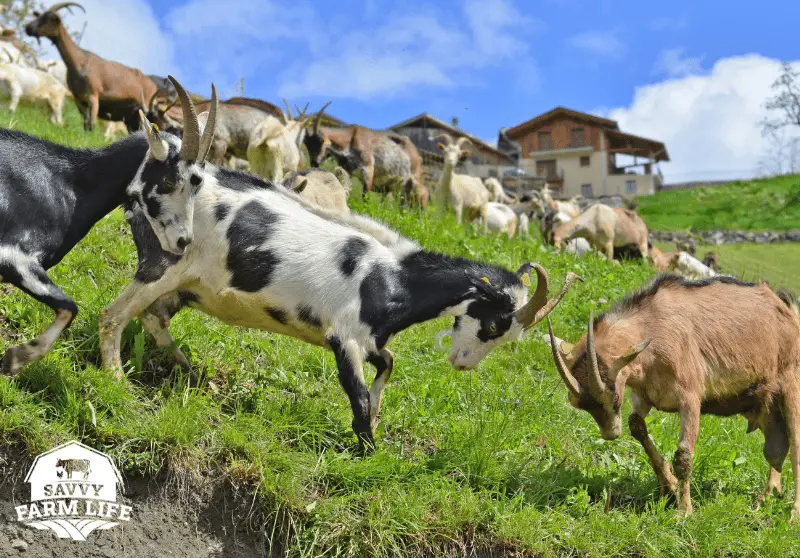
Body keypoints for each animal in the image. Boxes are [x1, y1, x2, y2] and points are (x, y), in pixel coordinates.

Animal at [0, 77, 217, 375]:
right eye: (169, 181)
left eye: (198, 186)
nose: (183, 240)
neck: (69, 183)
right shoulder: (14, 255)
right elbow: (70, 307)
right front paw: (16, 357)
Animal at [25, 2, 161, 131]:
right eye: (40, 15)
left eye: (48, 18)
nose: (28, 28)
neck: (80, 62)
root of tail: (153, 85)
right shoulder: (79, 98)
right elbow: (85, 123)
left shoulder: (94, 96)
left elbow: (92, 124)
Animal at [98, 156, 580, 453]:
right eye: (496, 324)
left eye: (509, 336)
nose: (463, 364)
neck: (394, 277)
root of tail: (140, 191)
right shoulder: (343, 338)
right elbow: (360, 397)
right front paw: (368, 451)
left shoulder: (370, 341)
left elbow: (388, 365)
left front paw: (377, 426)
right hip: (162, 263)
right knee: (113, 315)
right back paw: (116, 380)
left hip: (186, 286)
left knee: (154, 318)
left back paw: (187, 372)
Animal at [548, 275, 800, 520]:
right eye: (580, 404)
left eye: (615, 398)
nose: (611, 434)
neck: (655, 326)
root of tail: (788, 311)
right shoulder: (645, 394)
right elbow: (636, 426)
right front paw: (668, 487)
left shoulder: (690, 397)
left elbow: (684, 455)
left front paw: (684, 510)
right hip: (767, 406)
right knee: (777, 448)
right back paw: (764, 498)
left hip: (791, 387)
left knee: (795, 445)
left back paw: (793, 513)